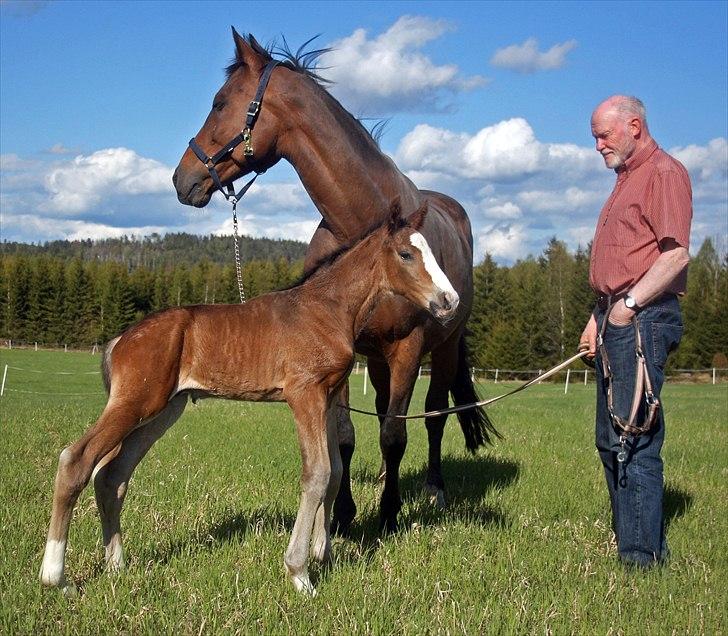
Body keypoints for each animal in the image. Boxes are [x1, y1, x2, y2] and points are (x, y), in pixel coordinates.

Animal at [38, 202, 456, 596]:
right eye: (406, 253)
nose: (449, 300)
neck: (327, 310)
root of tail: (120, 340)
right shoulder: (304, 395)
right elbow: (317, 474)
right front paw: (299, 573)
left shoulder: (327, 399)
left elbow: (336, 471)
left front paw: (324, 553)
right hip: (136, 403)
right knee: (77, 460)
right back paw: (56, 578)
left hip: (162, 412)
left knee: (113, 476)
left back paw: (118, 566)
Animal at [173, 31, 498, 536]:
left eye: (220, 102)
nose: (181, 178)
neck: (361, 218)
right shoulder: (347, 353)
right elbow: (345, 436)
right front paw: (344, 515)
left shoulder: (408, 347)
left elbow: (395, 433)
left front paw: (388, 515)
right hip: (380, 361)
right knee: (386, 408)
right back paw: (387, 479)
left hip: (442, 349)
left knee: (432, 417)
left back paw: (434, 489)